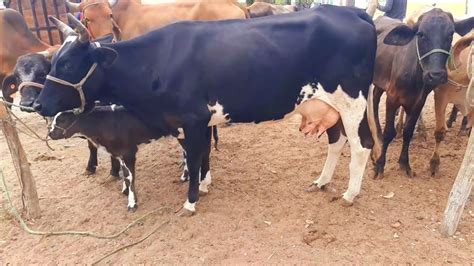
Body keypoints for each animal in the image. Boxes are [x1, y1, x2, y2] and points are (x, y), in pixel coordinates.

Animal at [34, 5, 382, 215]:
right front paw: (202, 184)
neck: (157, 63)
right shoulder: (189, 122)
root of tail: (352, 12)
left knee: (362, 145)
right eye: (53, 61)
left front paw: (190, 201)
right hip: (327, 104)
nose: (38, 104)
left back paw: (350, 194)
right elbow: (199, 155)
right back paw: (322, 181)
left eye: (67, 63)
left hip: (353, 102)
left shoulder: (192, 118)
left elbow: (193, 156)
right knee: (337, 141)